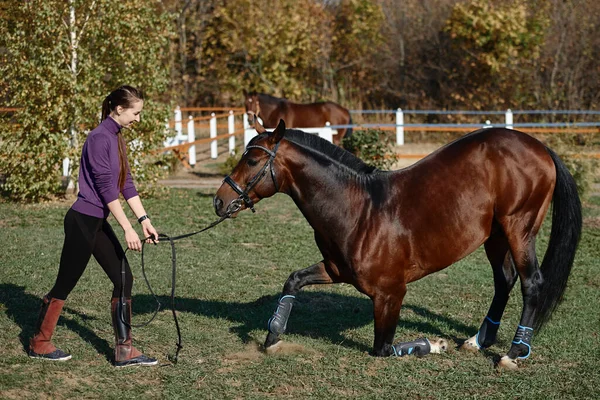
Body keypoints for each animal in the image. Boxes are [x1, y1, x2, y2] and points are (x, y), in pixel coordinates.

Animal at [212, 119, 580, 368]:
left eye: (252, 161)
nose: (220, 200)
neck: (359, 209)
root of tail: (538, 146)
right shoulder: (335, 270)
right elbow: (293, 280)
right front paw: (273, 335)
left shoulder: (390, 295)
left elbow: (384, 349)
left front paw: (433, 345)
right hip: (496, 235)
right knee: (504, 282)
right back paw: (479, 341)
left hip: (519, 228)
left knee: (531, 283)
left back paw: (514, 352)